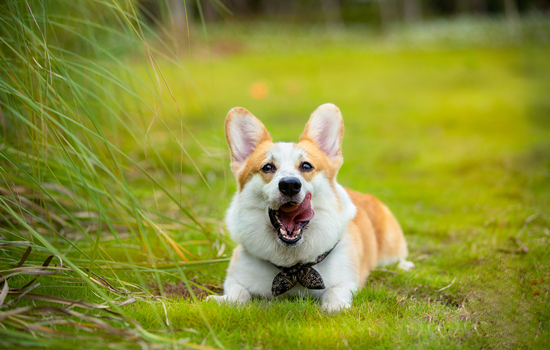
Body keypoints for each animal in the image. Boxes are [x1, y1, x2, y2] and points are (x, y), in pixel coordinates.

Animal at [209, 103, 416, 312]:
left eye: (306, 166)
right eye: (267, 167)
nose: (290, 185)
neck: (293, 267)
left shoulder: (347, 282)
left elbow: (335, 293)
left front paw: (334, 307)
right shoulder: (236, 277)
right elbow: (238, 293)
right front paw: (222, 300)